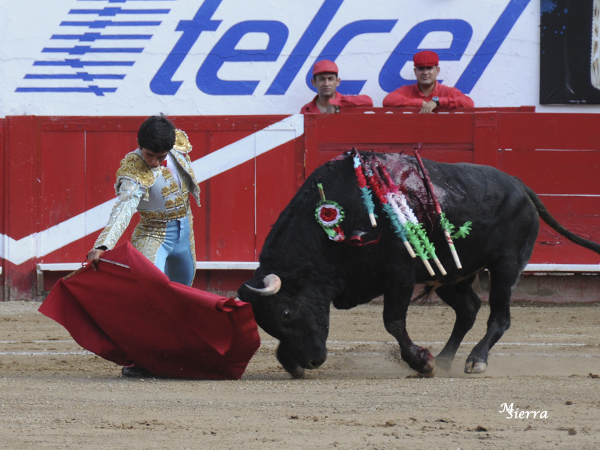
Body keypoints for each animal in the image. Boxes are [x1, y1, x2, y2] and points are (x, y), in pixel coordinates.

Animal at [237, 150, 596, 376]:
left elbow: (393, 321)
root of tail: (520, 185)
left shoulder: (400, 274)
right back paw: (446, 359)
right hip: (454, 274)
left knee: (499, 317)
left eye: (286, 312)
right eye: (265, 323)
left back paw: (475, 361)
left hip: (506, 267)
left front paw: (420, 362)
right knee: (468, 309)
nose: (311, 361)